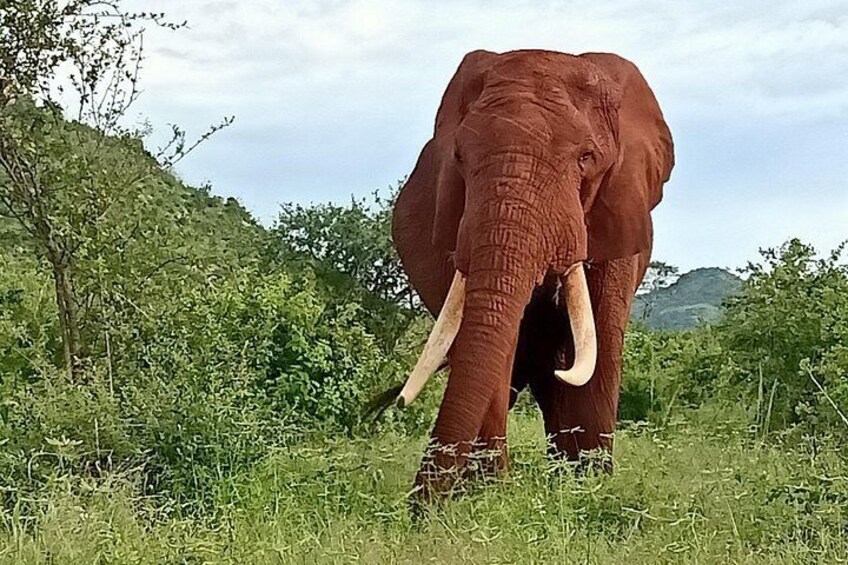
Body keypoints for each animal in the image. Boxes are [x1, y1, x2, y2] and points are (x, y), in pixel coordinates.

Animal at [382, 48, 668, 498]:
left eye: (586, 158)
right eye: (459, 158)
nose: (419, 508)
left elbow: (601, 338)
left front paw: (589, 489)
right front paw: (489, 494)